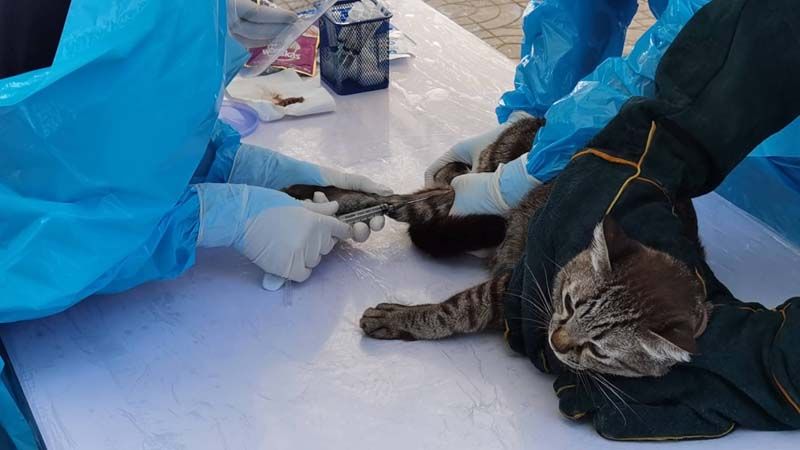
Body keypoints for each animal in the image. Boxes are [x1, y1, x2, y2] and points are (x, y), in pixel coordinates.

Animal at [283, 117, 709, 378]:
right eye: (569, 304)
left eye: (599, 350)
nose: (556, 340)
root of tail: (535, 119)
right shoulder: (516, 286)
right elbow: (455, 309)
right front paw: (406, 317)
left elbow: (457, 309)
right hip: (457, 193)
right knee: (393, 200)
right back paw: (316, 194)